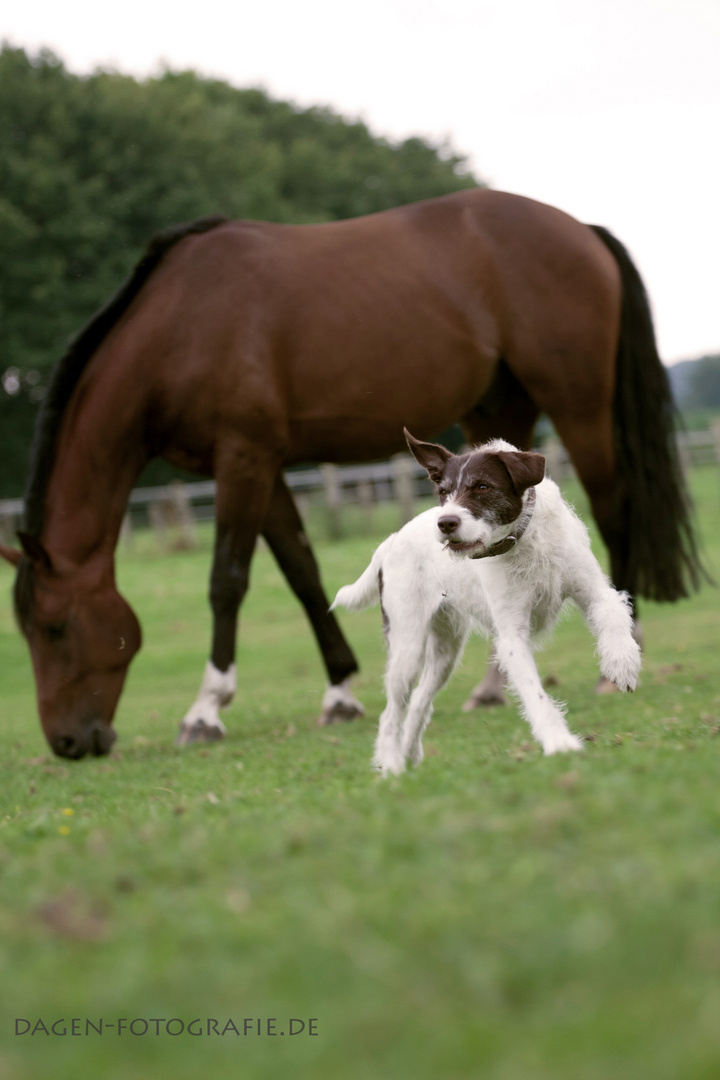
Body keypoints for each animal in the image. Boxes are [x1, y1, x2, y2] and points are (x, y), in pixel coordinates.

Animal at [332, 429, 643, 777]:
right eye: (443, 491)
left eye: (482, 487)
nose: (446, 523)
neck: (525, 540)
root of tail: (392, 540)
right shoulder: (511, 636)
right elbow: (535, 694)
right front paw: (559, 743)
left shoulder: (595, 592)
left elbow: (613, 615)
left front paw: (622, 663)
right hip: (407, 647)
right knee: (392, 712)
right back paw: (391, 766)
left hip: (445, 654)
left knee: (419, 701)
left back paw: (410, 754)